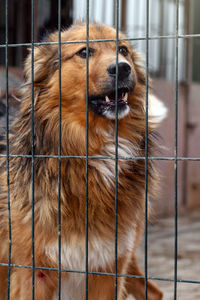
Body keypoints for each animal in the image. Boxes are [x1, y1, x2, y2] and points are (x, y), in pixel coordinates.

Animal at [0, 22, 166, 298]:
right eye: (84, 52)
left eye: (123, 50)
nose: (122, 67)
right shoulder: (34, 273)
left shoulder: (109, 267)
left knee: (154, 292)